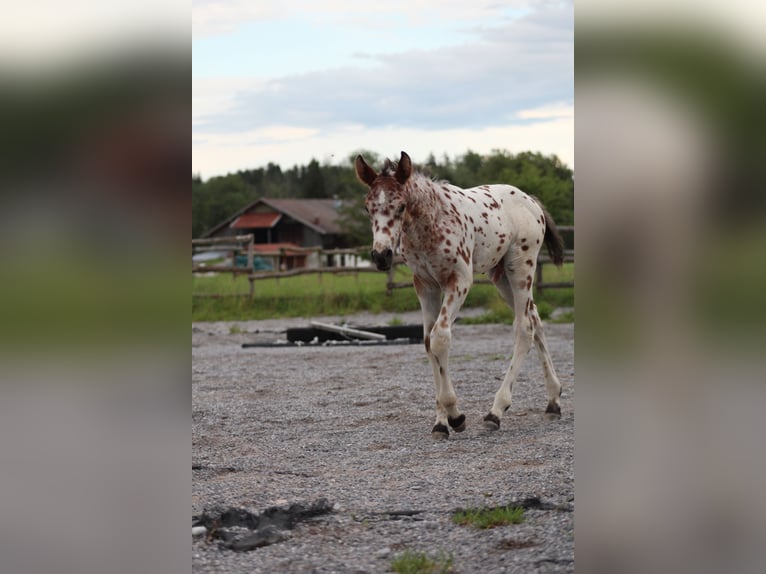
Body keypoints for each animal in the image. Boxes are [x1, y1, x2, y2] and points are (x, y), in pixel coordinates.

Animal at [356, 151, 568, 438]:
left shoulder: (460, 280)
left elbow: (440, 338)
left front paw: (455, 415)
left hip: (521, 267)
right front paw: (440, 422)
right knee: (536, 321)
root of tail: (532, 201)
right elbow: (427, 342)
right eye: (368, 208)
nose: (381, 256)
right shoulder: (425, 284)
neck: (430, 224)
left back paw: (496, 411)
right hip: (500, 276)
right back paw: (553, 401)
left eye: (400, 206)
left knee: (524, 327)